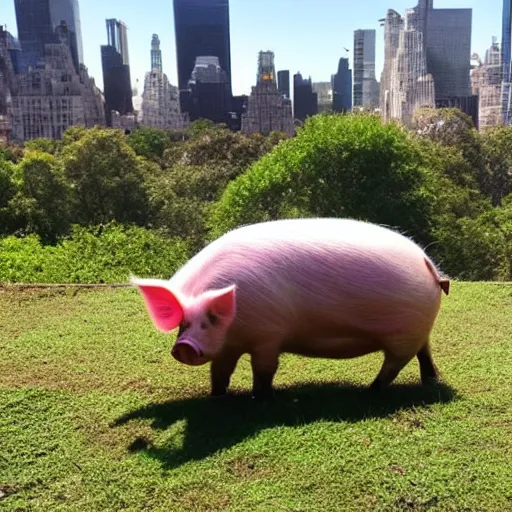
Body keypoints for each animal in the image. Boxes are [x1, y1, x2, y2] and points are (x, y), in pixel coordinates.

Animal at [131, 216, 448, 400]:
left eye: (211, 318)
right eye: (183, 322)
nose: (183, 346)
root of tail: (427, 262)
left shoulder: (269, 334)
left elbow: (264, 369)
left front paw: (261, 399)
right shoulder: (230, 344)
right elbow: (219, 371)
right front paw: (217, 399)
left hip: (402, 333)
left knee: (395, 364)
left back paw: (371, 390)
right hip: (417, 331)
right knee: (424, 352)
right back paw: (430, 380)